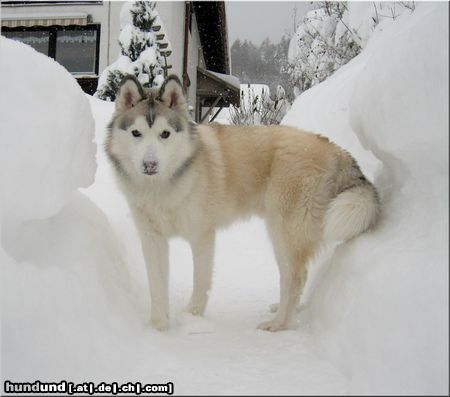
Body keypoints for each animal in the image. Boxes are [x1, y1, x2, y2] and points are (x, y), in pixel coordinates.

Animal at [105, 74, 380, 332]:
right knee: (294, 276)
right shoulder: (152, 239)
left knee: (295, 278)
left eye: (165, 134)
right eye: (136, 133)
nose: (149, 164)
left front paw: (192, 317)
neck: (162, 186)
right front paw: (158, 325)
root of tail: (335, 149)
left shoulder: (202, 237)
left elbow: (200, 281)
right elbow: (157, 285)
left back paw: (279, 324)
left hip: (284, 231)